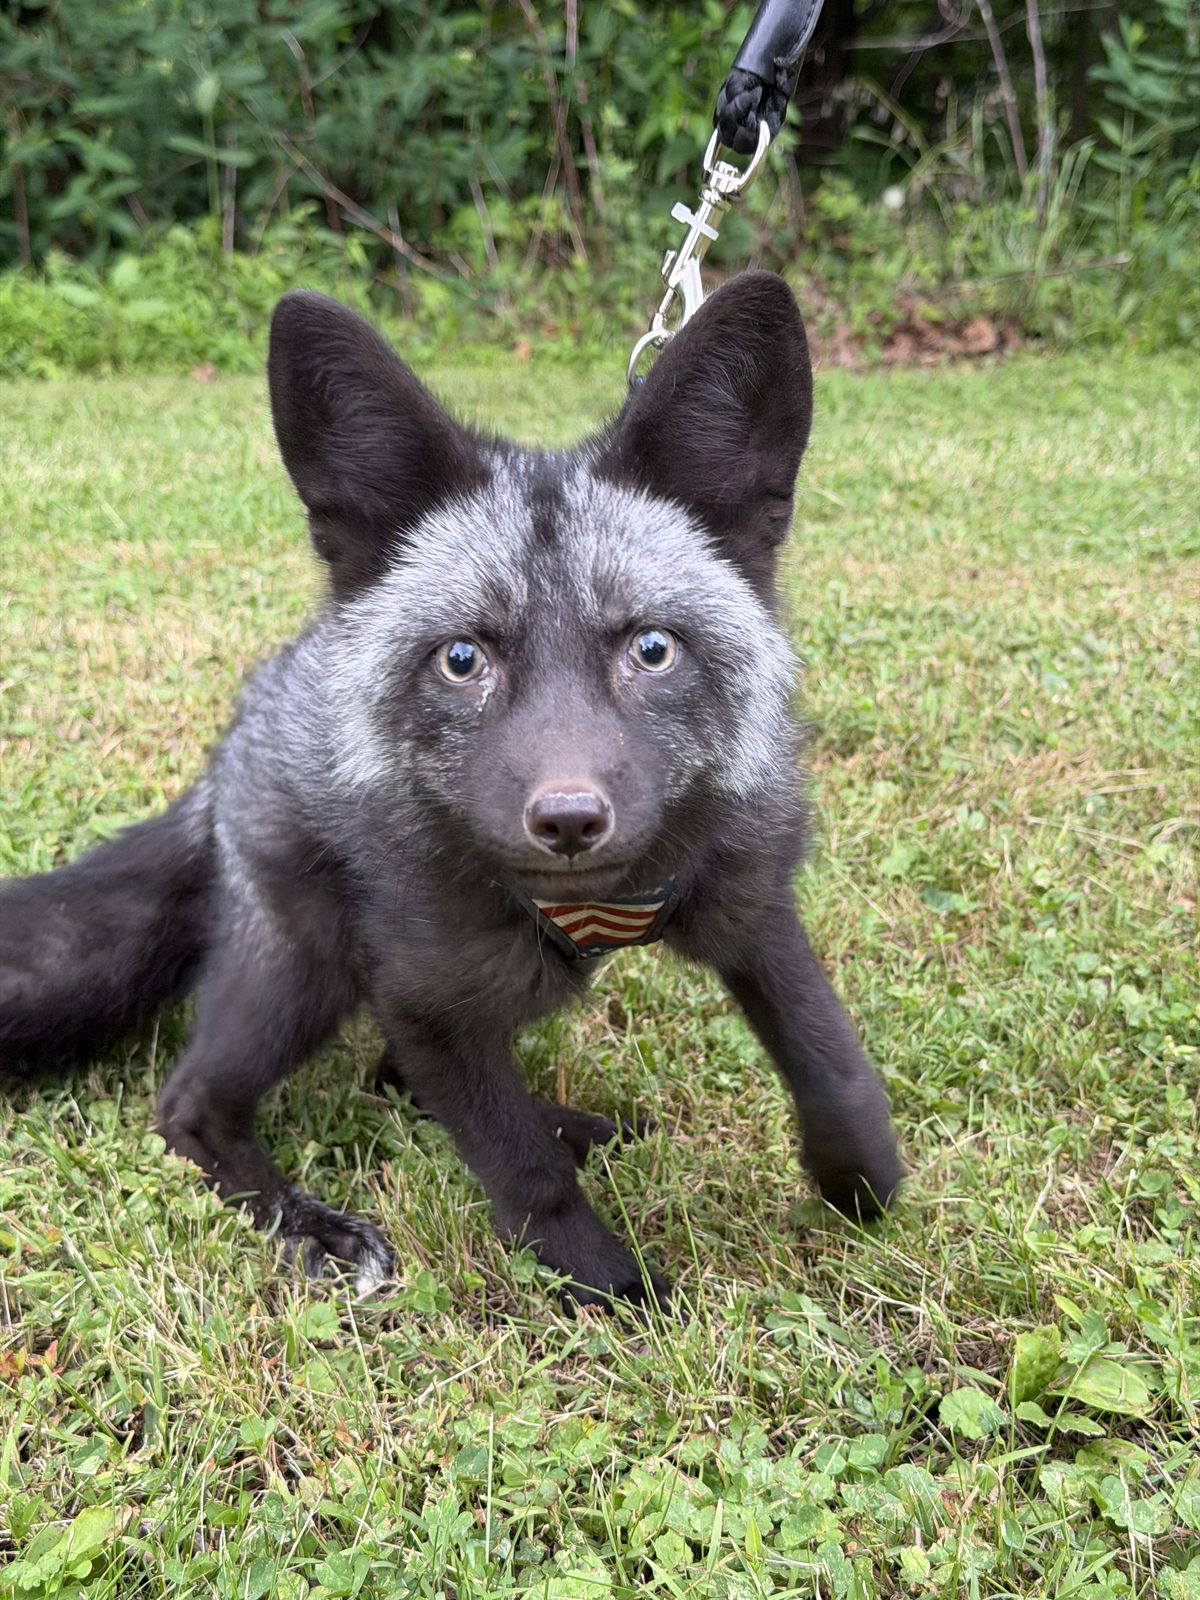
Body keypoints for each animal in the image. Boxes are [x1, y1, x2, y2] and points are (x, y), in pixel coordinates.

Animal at [0, 271, 902, 1308]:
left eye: (652, 648)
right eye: (463, 659)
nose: (569, 821)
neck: (604, 903)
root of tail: (239, 736)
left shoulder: (751, 904)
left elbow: (829, 1058)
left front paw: (861, 1182)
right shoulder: (427, 998)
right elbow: (520, 1171)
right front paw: (614, 1296)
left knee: (393, 1078)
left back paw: (577, 1124)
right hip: (311, 968)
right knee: (194, 1105)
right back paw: (310, 1223)